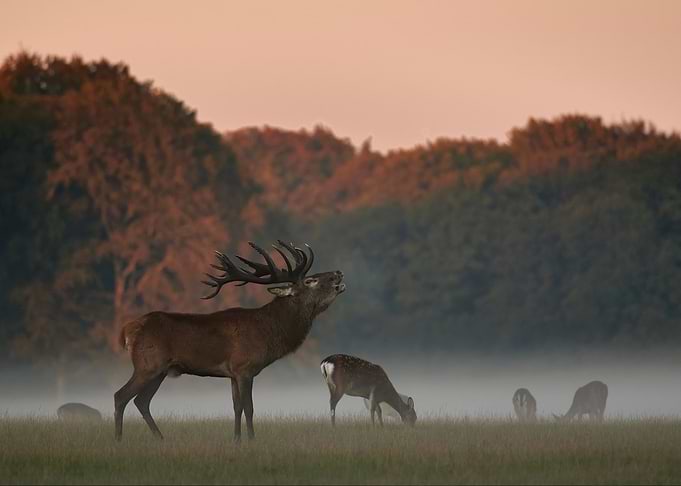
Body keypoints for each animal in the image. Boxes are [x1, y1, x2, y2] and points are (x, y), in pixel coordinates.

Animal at [114, 240, 345, 443]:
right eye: (310, 281)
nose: (338, 273)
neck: (268, 332)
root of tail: (127, 330)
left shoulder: (233, 373)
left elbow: (237, 407)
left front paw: (236, 440)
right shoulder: (245, 367)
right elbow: (249, 408)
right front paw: (252, 440)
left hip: (160, 370)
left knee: (141, 401)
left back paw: (160, 438)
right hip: (147, 364)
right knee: (121, 395)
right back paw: (118, 440)